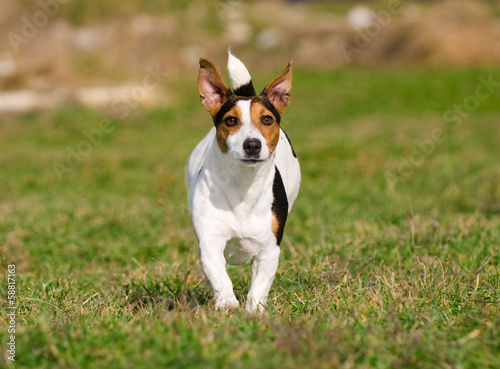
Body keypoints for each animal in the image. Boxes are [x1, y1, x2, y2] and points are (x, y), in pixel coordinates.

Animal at [186, 50, 298, 312]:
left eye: (267, 119)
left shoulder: (269, 250)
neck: (243, 186)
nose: (252, 144)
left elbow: (260, 284)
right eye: (230, 121)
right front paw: (227, 303)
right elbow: (219, 276)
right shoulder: (210, 242)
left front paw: (254, 310)